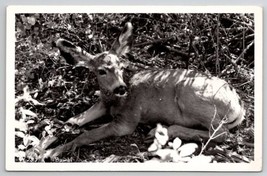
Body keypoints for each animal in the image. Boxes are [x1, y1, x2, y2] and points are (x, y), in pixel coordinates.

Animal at [43, 22, 245, 160]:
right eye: (101, 71)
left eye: (121, 67)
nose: (120, 88)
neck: (117, 102)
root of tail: (238, 105)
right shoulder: (103, 104)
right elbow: (74, 119)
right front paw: (47, 140)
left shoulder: (127, 121)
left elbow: (87, 134)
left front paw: (52, 152)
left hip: (191, 96)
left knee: (220, 134)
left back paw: (161, 131)